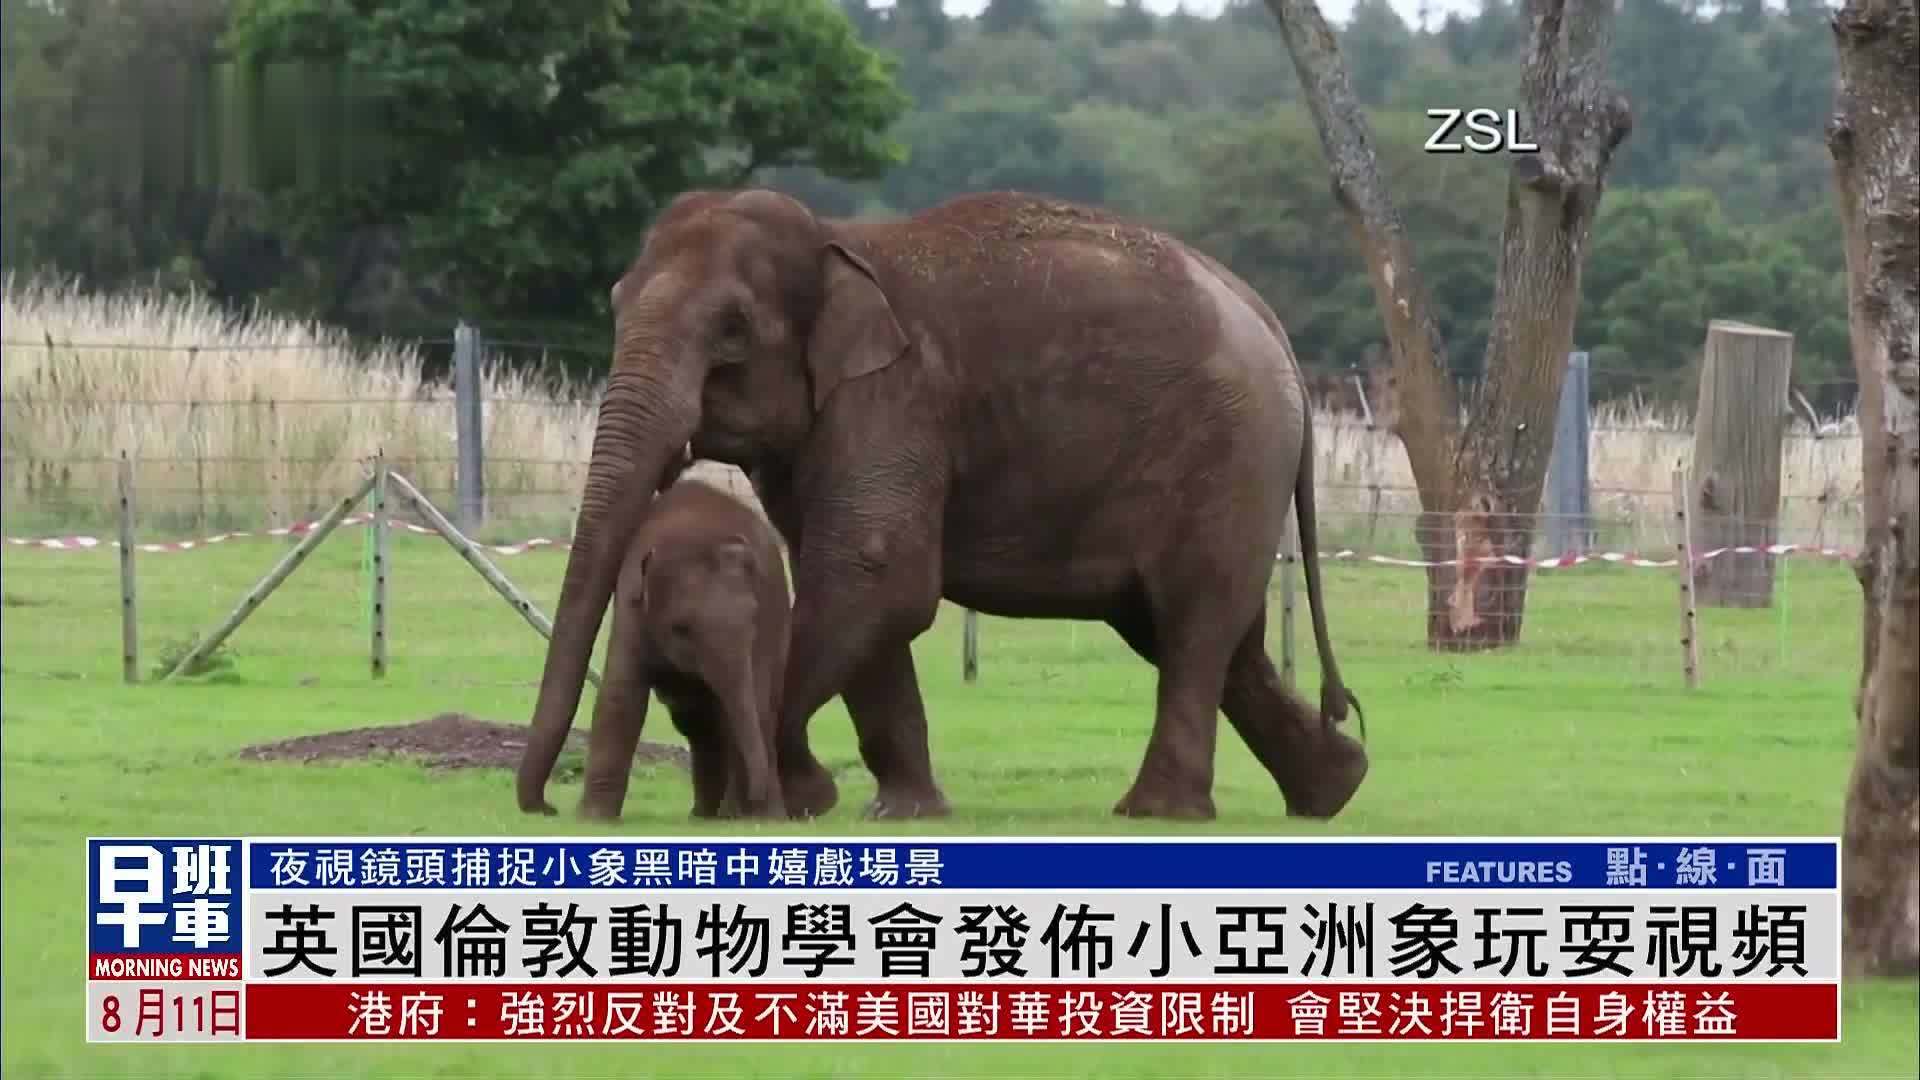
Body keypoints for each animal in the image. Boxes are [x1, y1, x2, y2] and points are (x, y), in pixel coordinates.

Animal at [573, 475, 791, 822]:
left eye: (753, 621)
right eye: (681, 629)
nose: (752, 801)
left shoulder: (767, 617)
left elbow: (753, 701)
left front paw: (761, 817)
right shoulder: (630, 606)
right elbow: (622, 694)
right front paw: (594, 819)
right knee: (698, 720)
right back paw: (705, 814)